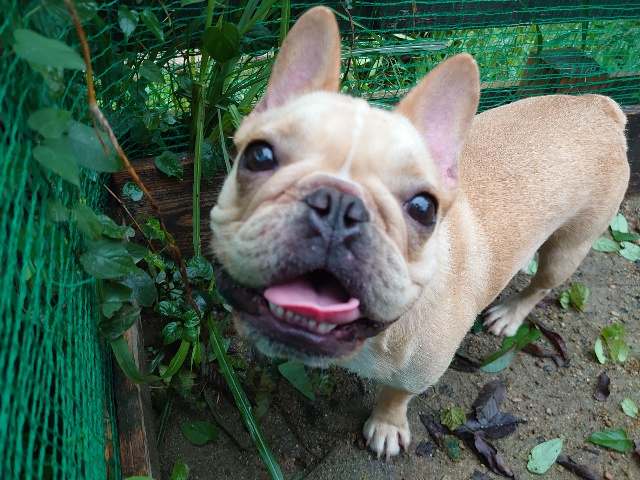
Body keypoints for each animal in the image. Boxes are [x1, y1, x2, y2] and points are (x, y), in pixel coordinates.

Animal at [209, 6, 629, 459]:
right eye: (258, 156)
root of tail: (600, 107)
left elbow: (397, 394)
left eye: (424, 209)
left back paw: (510, 313)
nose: (338, 204)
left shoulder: (419, 374)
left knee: (543, 283)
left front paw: (387, 424)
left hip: (570, 247)